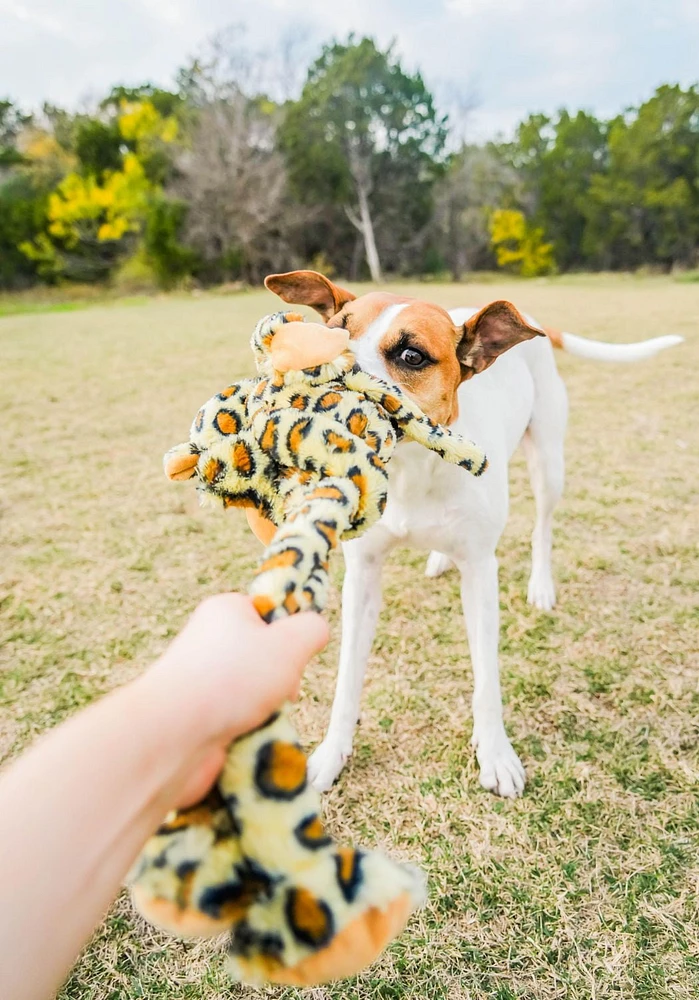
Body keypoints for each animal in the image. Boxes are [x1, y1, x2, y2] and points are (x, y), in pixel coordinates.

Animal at [264, 272, 684, 796]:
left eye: (411, 356)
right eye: (334, 330)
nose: (316, 369)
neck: (411, 468)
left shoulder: (483, 575)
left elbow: (487, 678)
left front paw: (496, 753)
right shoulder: (362, 576)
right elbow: (347, 679)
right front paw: (330, 752)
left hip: (549, 465)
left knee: (543, 527)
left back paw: (540, 584)